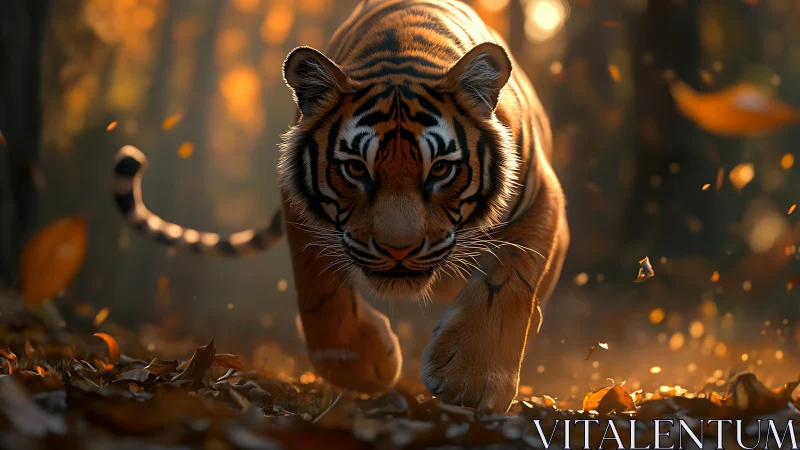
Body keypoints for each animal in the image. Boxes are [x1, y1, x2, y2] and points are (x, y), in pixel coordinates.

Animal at [113, 0, 569, 413]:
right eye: (355, 168)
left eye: (440, 168)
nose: (399, 249)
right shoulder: (299, 211)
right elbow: (320, 301)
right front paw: (369, 366)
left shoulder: (543, 199)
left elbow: (507, 281)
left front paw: (470, 381)